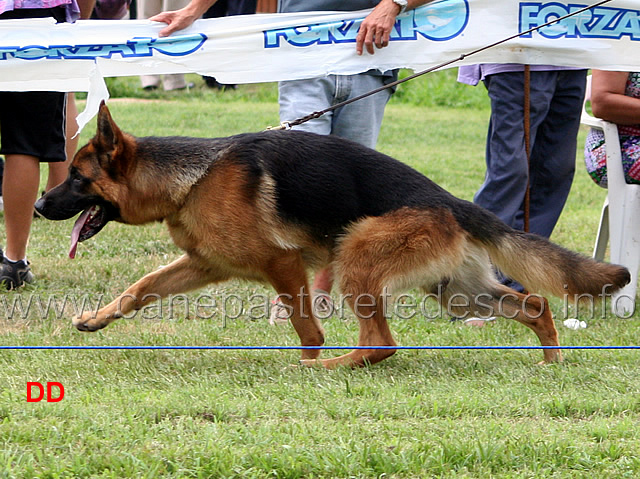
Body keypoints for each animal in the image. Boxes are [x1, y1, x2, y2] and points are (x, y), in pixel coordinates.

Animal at [36, 104, 632, 368]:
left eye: (76, 177)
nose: (40, 205)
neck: (191, 178)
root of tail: (452, 203)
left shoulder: (282, 265)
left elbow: (305, 325)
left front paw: (307, 357)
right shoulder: (203, 265)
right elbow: (140, 287)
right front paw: (95, 319)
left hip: (357, 261)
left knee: (382, 343)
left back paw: (331, 366)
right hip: (456, 294)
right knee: (534, 303)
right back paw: (551, 360)